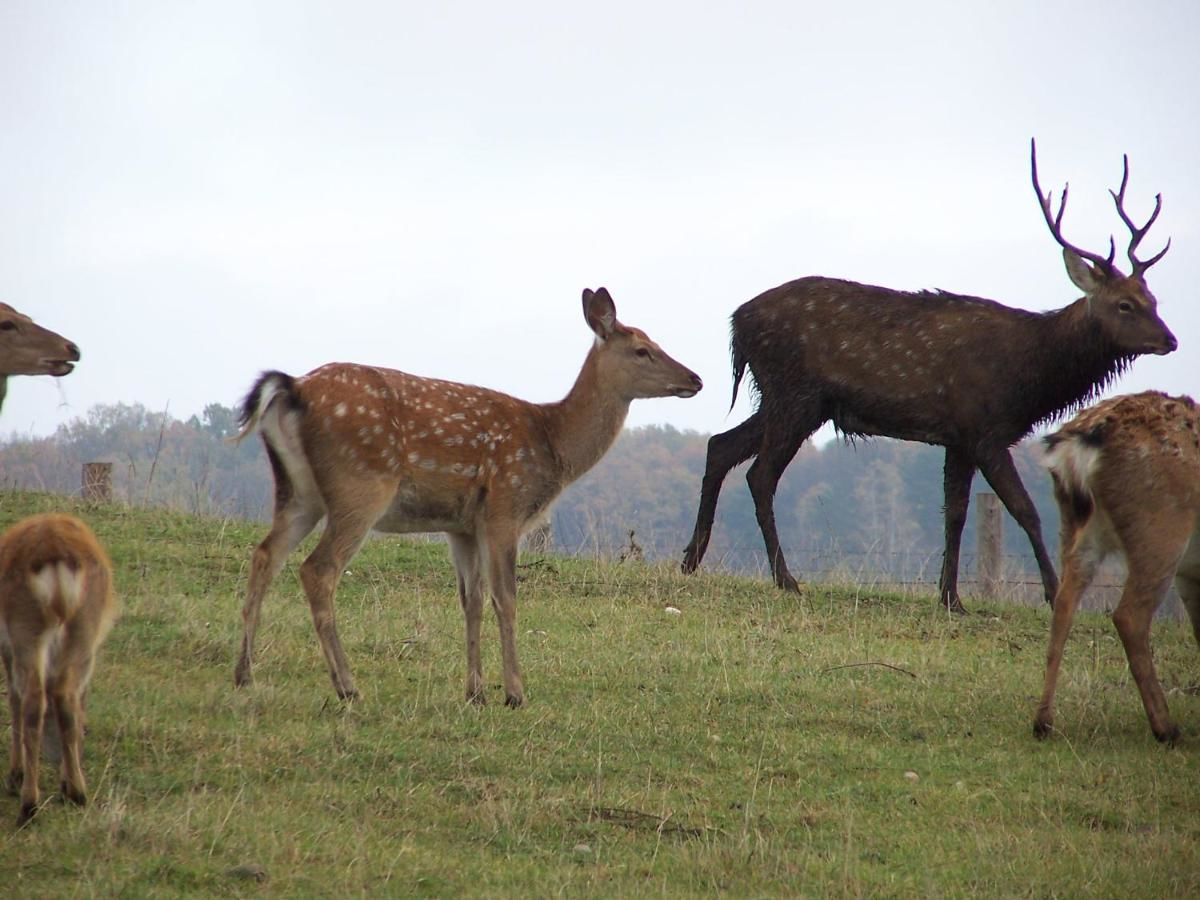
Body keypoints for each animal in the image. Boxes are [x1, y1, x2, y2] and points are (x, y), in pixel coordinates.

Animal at [0, 513, 117, 830]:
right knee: (60, 697)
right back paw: (59, 795)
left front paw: (14, 776)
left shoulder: (6, 647)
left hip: (26, 628)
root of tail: (55, 555)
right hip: (82, 630)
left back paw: (39, 799)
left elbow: (12, 698)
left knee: (33, 700)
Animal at [234, 285, 700, 710]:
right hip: (360, 486)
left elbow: (470, 600)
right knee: (318, 570)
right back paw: (347, 686)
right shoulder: (504, 507)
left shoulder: (461, 527)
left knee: (264, 555)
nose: (695, 378)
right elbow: (506, 598)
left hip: (297, 492)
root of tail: (293, 388)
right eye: (642, 350)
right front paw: (514, 693)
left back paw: (244, 674)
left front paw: (475, 692)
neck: (552, 443)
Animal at [681, 141, 1176, 614]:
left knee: (720, 446)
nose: (1170, 340)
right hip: (794, 394)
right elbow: (1025, 510)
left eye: (1153, 298)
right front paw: (1054, 595)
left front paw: (951, 597)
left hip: (787, 399)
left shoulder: (958, 438)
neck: (1029, 378)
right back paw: (785, 578)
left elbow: (954, 513)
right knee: (760, 474)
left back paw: (691, 560)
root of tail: (737, 322)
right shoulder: (984, 429)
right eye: (1125, 304)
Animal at [1036, 391, 1195, 744]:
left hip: (1077, 526)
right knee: (1128, 615)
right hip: (1161, 530)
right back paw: (1166, 729)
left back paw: (1043, 723)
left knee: (1063, 601)